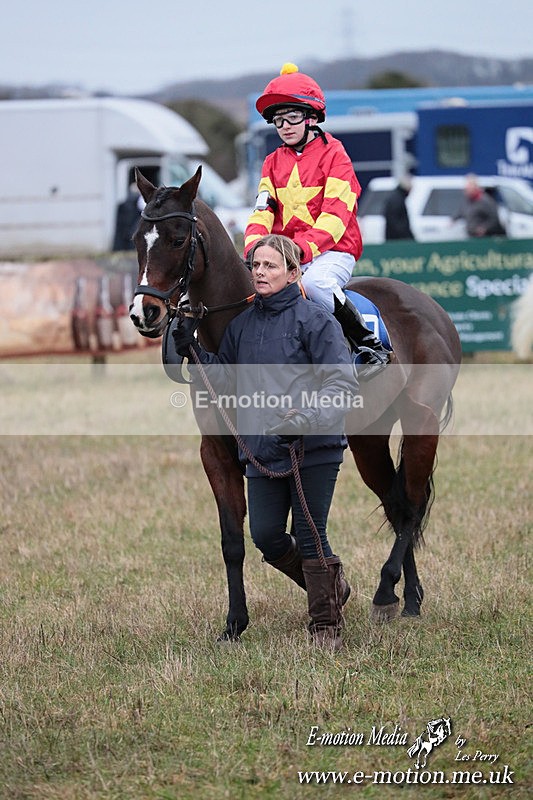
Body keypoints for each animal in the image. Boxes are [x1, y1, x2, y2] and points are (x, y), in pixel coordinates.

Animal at [129, 166, 462, 641]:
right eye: (139, 239)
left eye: (177, 239)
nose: (145, 313)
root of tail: (432, 308)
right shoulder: (217, 452)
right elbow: (236, 541)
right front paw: (235, 622)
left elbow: (296, 532)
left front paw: (334, 591)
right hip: (368, 439)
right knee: (397, 504)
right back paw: (409, 598)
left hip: (421, 423)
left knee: (412, 505)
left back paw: (385, 590)